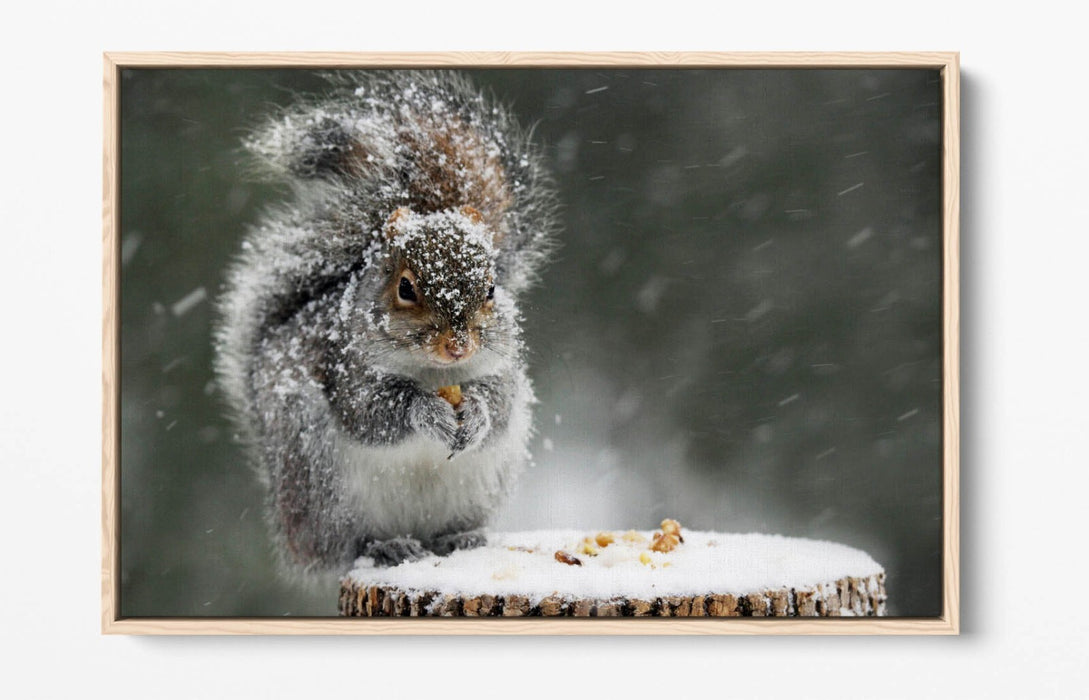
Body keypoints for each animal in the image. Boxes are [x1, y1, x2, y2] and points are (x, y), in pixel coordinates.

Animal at [213, 72, 558, 578]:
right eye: (406, 288)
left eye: (493, 288)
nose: (458, 346)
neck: (435, 373)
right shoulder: (344, 369)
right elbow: (372, 412)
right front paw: (426, 412)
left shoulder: (502, 370)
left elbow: (498, 405)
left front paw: (475, 412)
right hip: (321, 487)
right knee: (345, 546)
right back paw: (384, 547)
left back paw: (460, 538)